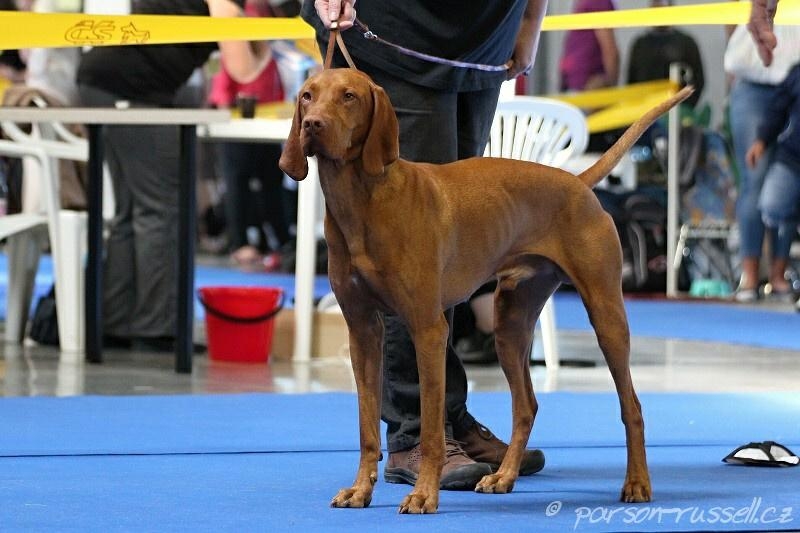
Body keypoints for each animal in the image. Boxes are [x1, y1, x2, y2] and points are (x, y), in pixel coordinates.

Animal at [280, 68, 692, 514]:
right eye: (307, 96)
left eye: (349, 96)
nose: (312, 125)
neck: (362, 200)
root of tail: (577, 182)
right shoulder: (363, 331)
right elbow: (366, 426)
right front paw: (360, 489)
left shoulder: (427, 329)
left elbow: (431, 430)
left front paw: (424, 494)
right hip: (510, 324)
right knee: (526, 405)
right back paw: (504, 476)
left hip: (606, 314)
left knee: (631, 405)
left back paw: (637, 482)